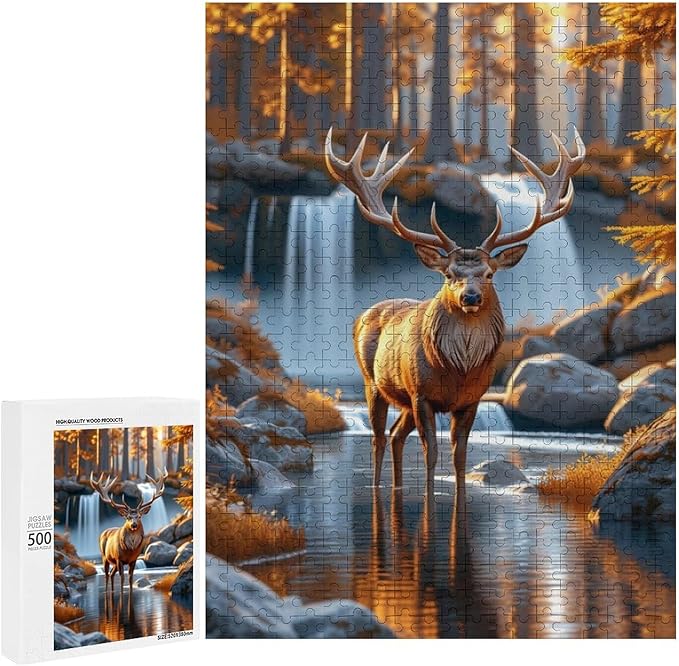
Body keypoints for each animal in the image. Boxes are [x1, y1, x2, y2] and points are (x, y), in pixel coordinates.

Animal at [325, 126, 585, 492]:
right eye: (449, 275)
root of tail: (363, 314)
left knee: (395, 435)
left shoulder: (472, 400)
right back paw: (377, 487)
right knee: (379, 437)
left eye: (489, 274)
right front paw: (430, 498)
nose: (470, 297)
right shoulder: (422, 395)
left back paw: (397, 488)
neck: (459, 368)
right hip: (373, 383)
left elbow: (459, 454)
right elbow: (431, 451)